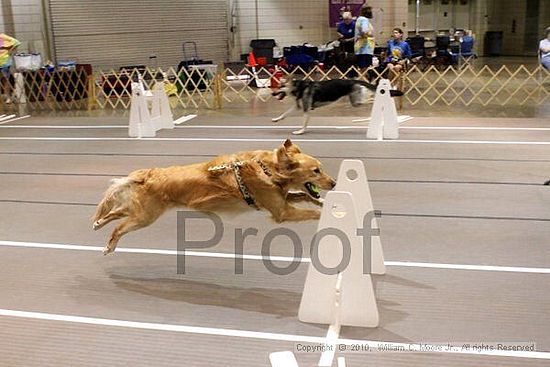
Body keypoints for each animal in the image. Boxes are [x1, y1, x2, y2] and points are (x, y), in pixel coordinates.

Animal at [272, 78, 406, 135]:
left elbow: (304, 123)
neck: (299, 87)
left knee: (371, 98)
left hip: (356, 102)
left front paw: (300, 131)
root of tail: (352, 80)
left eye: (281, 86)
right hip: (355, 101)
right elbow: (284, 114)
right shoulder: (298, 107)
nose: (272, 93)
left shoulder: (306, 109)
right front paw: (276, 119)